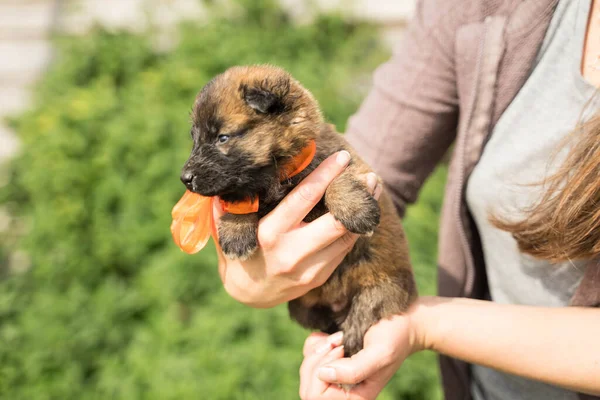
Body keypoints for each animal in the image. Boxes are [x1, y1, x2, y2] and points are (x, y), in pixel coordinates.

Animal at [183, 65, 418, 362]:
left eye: (222, 137)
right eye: (195, 138)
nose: (185, 178)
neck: (277, 174)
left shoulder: (343, 158)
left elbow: (338, 177)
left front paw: (356, 210)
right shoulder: (243, 186)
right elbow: (239, 198)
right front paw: (236, 234)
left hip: (382, 286)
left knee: (367, 310)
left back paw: (351, 335)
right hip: (302, 308)